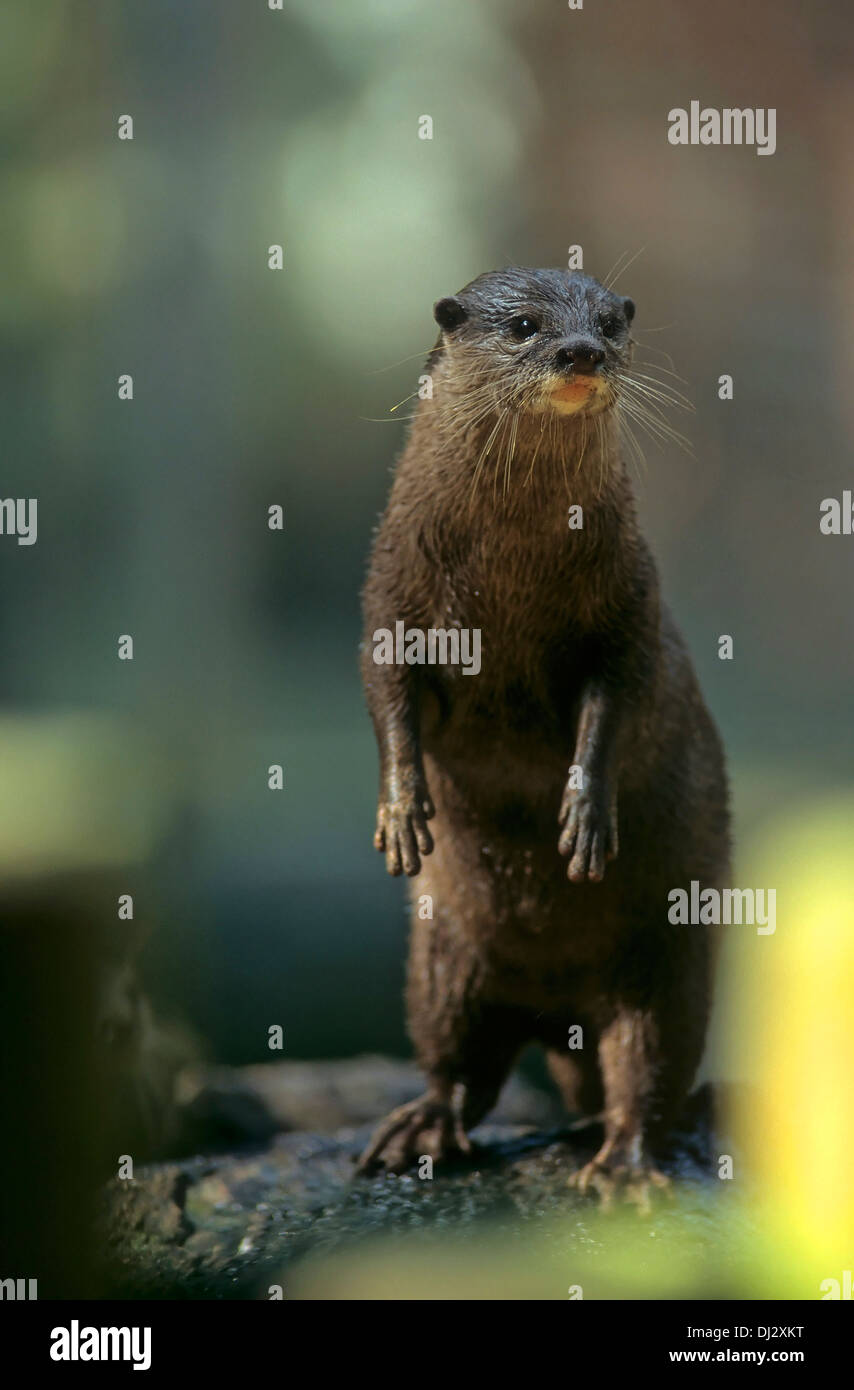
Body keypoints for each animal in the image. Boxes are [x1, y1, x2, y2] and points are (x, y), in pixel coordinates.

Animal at [358, 271, 734, 1206]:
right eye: (525, 325)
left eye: (608, 323)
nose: (581, 352)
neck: (505, 578)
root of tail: (556, 1014)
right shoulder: (391, 588)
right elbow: (386, 695)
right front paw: (403, 811)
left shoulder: (626, 606)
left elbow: (614, 702)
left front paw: (585, 814)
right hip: (442, 959)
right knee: (460, 1064)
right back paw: (421, 1127)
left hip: (669, 965)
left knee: (648, 1072)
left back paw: (626, 1166)